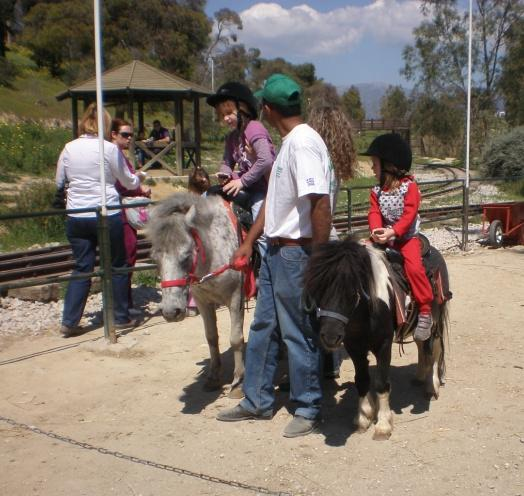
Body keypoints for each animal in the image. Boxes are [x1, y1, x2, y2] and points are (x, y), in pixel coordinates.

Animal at [304, 238, 448, 440]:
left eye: (352, 290)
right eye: (319, 288)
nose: (330, 337)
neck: (367, 310)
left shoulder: (383, 345)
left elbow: (381, 383)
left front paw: (383, 425)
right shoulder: (354, 346)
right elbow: (362, 380)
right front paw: (363, 418)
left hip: (435, 319)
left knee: (433, 350)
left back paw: (431, 386)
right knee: (422, 346)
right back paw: (419, 376)